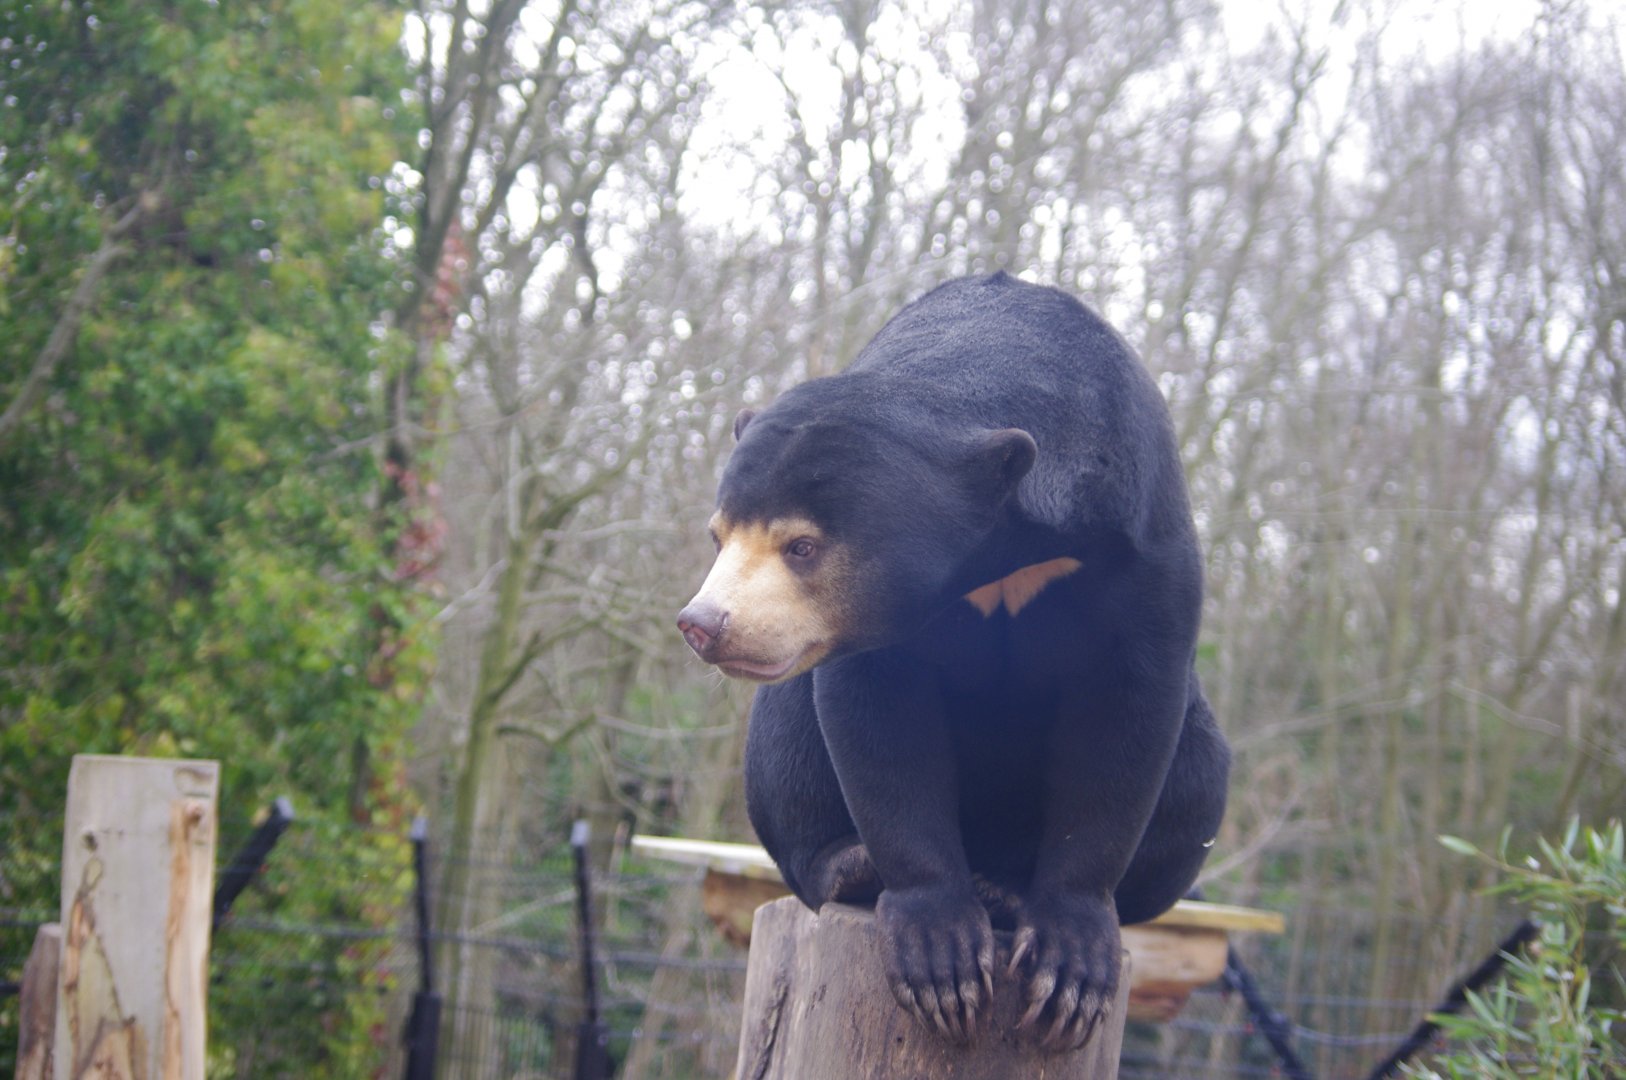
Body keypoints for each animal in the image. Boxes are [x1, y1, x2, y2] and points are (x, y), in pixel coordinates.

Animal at [677, 272, 1230, 1050]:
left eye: (802, 547)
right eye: (718, 535)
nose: (702, 625)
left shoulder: (1146, 540)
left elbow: (1129, 717)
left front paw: (1070, 969)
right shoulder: (867, 634)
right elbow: (881, 726)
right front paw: (940, 955)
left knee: (1199, 774)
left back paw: (1009, 890)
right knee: (783, 747)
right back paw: (855, 868)